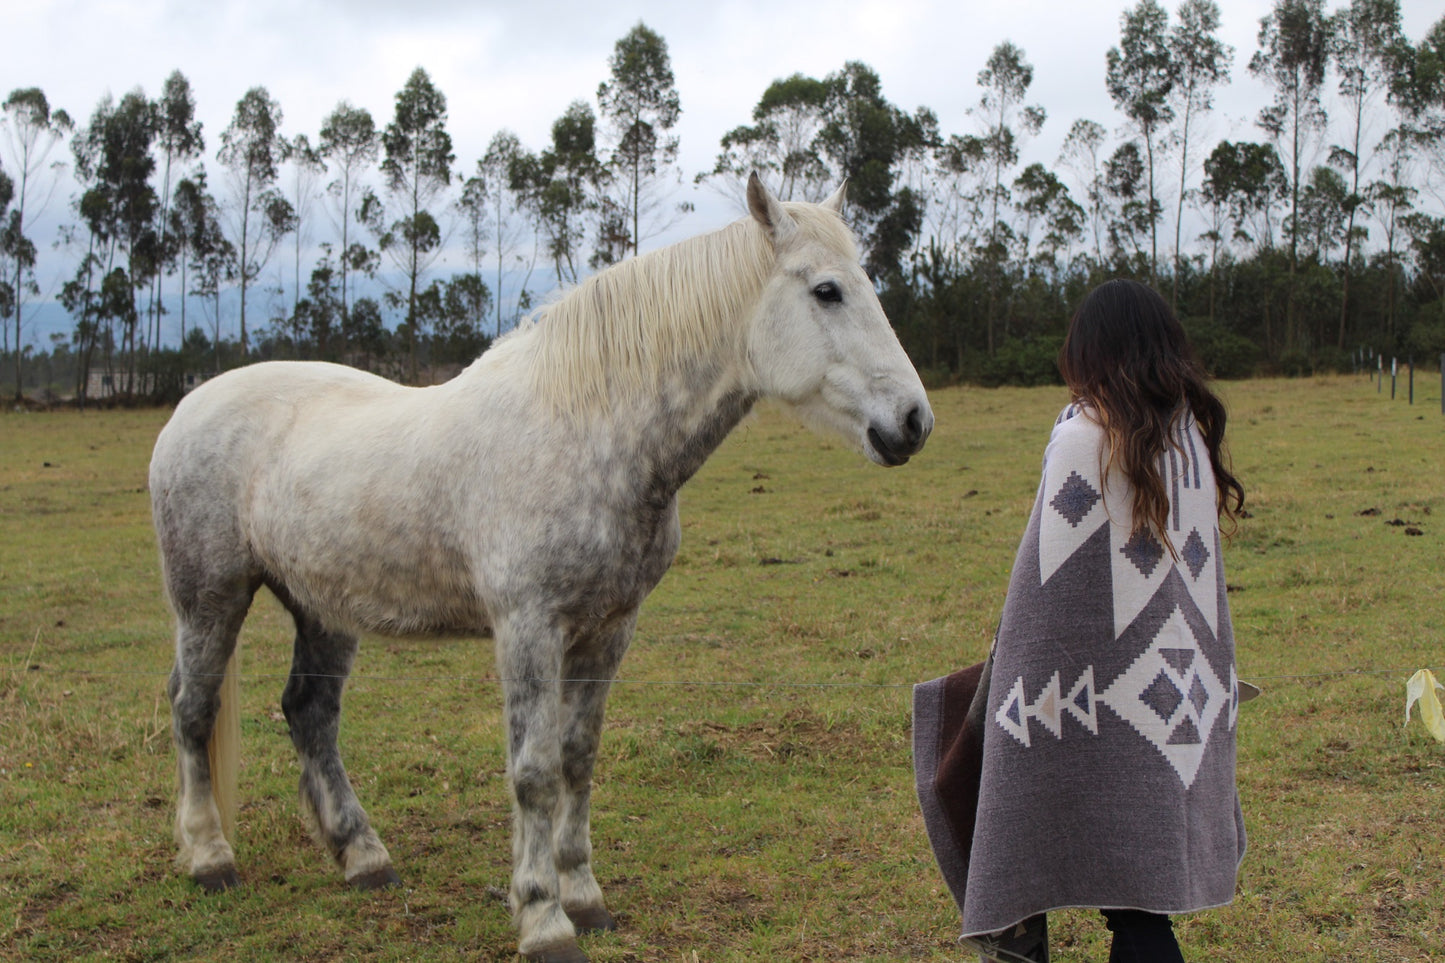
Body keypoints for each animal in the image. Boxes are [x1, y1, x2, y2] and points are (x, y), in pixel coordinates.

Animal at [149, 174, 936, 960]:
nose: (912, 422)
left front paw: (583, 896)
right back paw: (210, 856)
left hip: (323, 609)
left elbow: (577, 759)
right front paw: (542, 917)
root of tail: (192, 403)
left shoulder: (609, 629)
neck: (587, 429)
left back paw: (363, 857)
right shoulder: (529, 627)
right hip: (210, 597)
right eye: (827, 290)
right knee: (193, 708)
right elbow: (533, 772)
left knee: (310, 715)